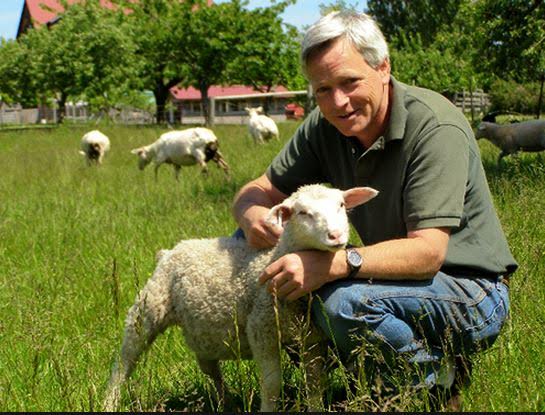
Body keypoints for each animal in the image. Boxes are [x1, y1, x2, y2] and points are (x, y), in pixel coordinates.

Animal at [104, 184, 378, 412]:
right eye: (303, 213)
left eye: (341, 205)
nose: (336, 235)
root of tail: (171, 250)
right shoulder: (261, 330)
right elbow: (272, 386)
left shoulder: (312, 339)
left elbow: (314, 384)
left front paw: (316, 408)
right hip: (148, 308)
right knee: (124, 362)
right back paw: (110, 401)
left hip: (204, 331)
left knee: (209, 367)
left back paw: (227, 403)